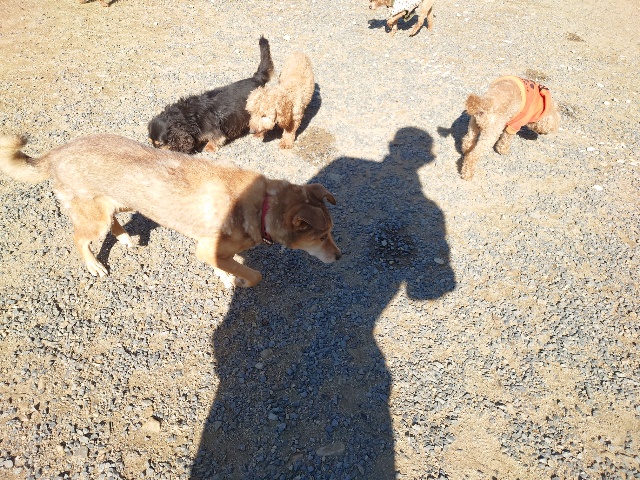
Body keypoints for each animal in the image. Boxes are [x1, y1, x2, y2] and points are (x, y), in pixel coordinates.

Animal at [0, 134, 341, 287]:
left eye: (330, 233)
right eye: (321, 236)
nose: (340, 257)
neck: (263, 206)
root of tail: (55, 153)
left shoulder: (211, 248)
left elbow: (225, 263)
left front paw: (225, 275)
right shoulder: (207, 248)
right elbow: (253, 274)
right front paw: (240, 279)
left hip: (123, 200)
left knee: (113, 222)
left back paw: (125, 239)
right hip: (93, 217)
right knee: (79, 238)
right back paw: (94, 265)